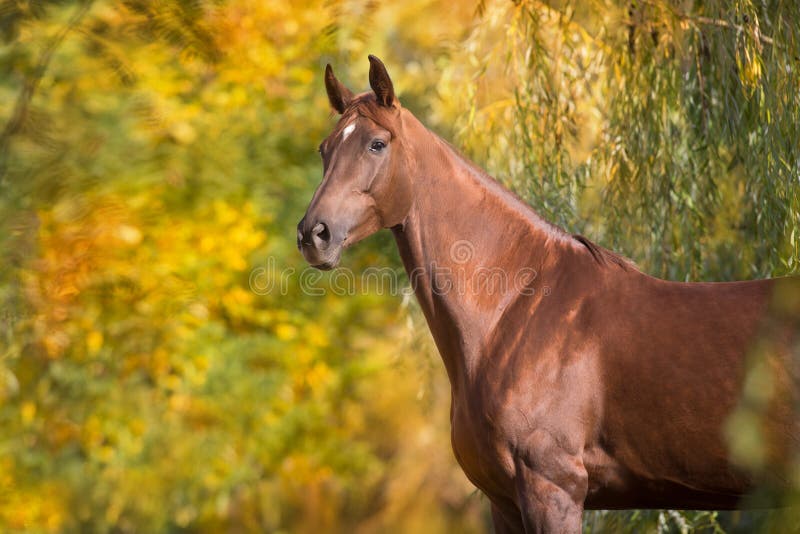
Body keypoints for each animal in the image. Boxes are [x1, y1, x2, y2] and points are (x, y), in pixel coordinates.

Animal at [296, 56, 796, 532]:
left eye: (377, 144)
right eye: (324, 149)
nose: (313, 234)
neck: (513, 310)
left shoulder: (553, 488)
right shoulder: (504, 503)